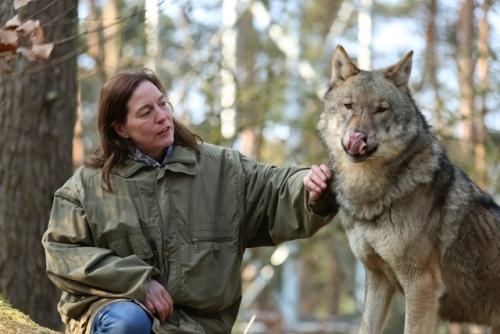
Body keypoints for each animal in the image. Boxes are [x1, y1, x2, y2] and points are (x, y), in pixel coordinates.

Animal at [318, 45, 500, 334]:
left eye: (381, 109)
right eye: (349, 106)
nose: (358, 137)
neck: (371, 197)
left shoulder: (421, 284)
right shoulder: (378, 280)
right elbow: (366, 327)